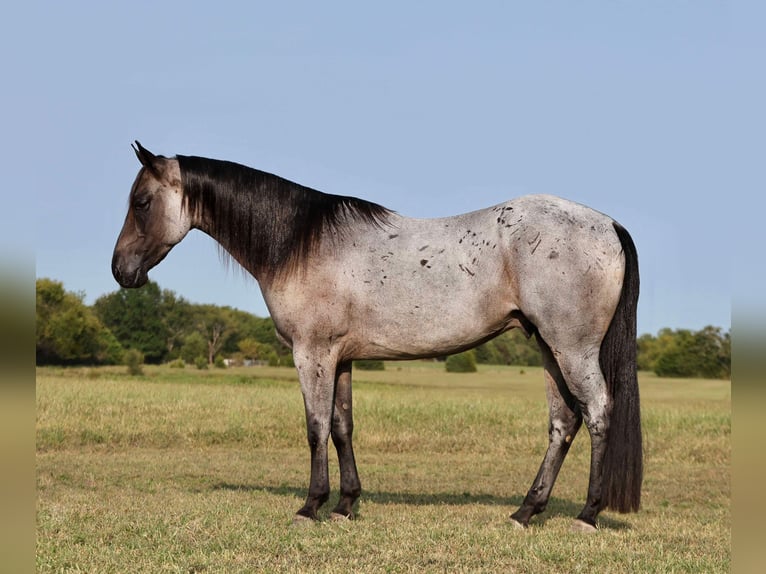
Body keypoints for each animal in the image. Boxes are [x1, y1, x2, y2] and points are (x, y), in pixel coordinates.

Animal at [112, 144, 640, 536]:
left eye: (141, 203)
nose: (121, 271)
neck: (300, 242)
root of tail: (607, 224)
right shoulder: (340, 358)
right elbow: (342, 426)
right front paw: (346, 505)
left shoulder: (312, 353)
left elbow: (315, 427)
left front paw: (310, 506)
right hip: (549, 349)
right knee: (563, 422)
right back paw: (525, 512)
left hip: (572, 349)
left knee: (597, 412)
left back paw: (587, 515)